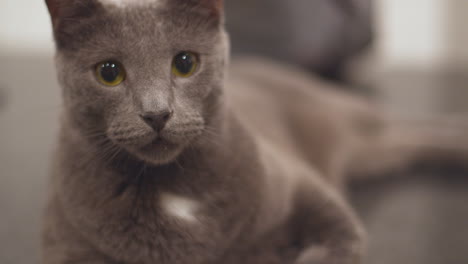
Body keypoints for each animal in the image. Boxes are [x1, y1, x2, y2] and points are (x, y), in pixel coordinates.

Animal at [43, 0, 468, 264]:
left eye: (185, 63)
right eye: (109, 72)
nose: (157, 113)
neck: (168, 186)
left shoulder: (304, 184)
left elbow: (339, 238)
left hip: (351, 114)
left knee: (406, 121)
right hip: (374, 150)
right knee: (407, 140)